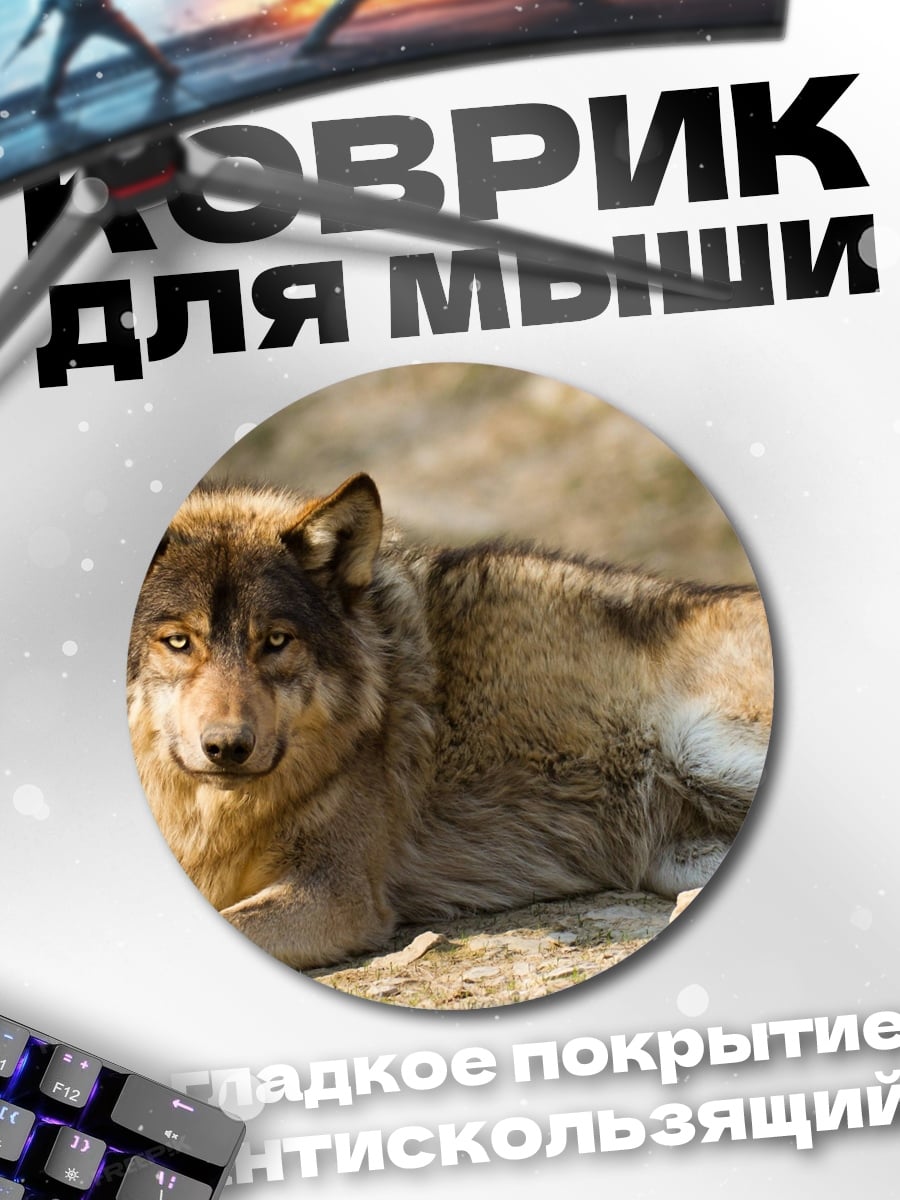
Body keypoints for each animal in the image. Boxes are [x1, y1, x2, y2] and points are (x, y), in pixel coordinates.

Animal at [127, 473, 773, 971]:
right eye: (179, 641)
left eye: (276, 641)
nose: (227, 747)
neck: (217, 816)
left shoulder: (337, 893)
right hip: (678, 850)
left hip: (703, 750)